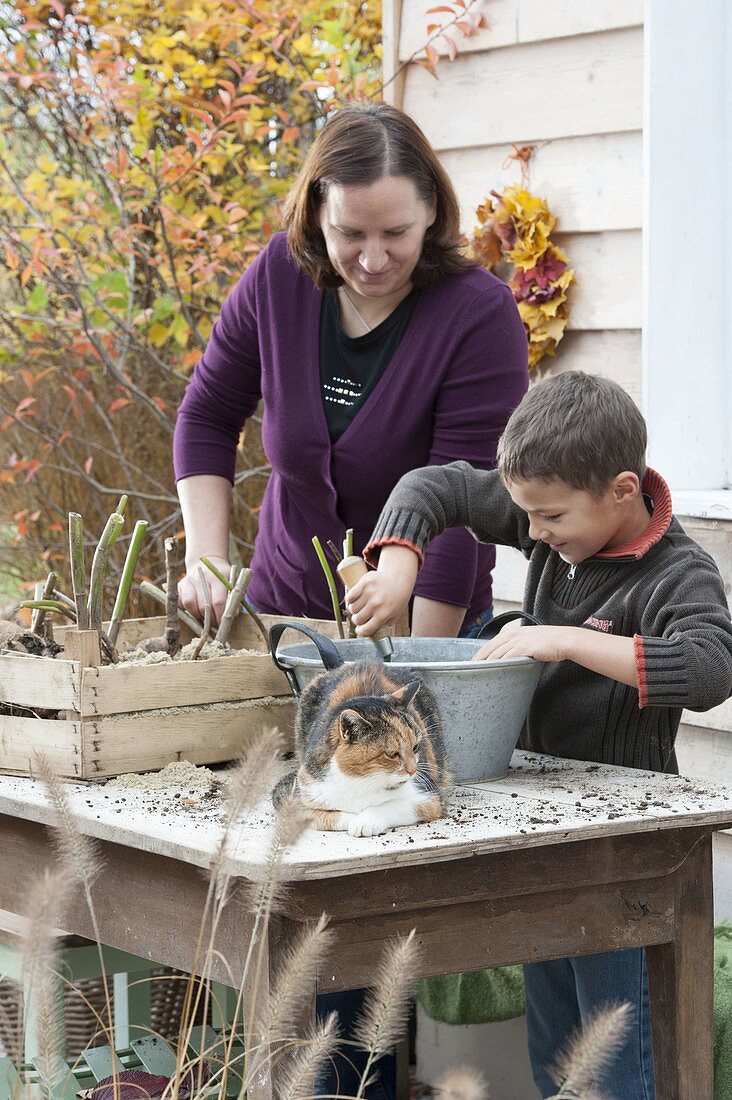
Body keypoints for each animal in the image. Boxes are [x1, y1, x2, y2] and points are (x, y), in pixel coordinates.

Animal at [272, 660, 449, 831]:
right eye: (391, 754)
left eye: (415, 747)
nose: (413, 770)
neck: (360, 780)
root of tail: (367, 662)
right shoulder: (300, 796)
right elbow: (326, 815)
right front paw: (351, 818)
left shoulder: (429, 798)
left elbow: (390, 806)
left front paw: (364, 822)